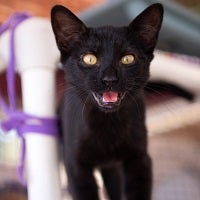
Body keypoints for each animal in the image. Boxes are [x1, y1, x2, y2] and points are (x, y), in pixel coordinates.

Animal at [50, 3, 163, 200]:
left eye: (127, 58)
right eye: (89, 58)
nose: (109, 79)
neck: (108, 124)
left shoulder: (139, 160)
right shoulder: (77, 167)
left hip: (114, 169)